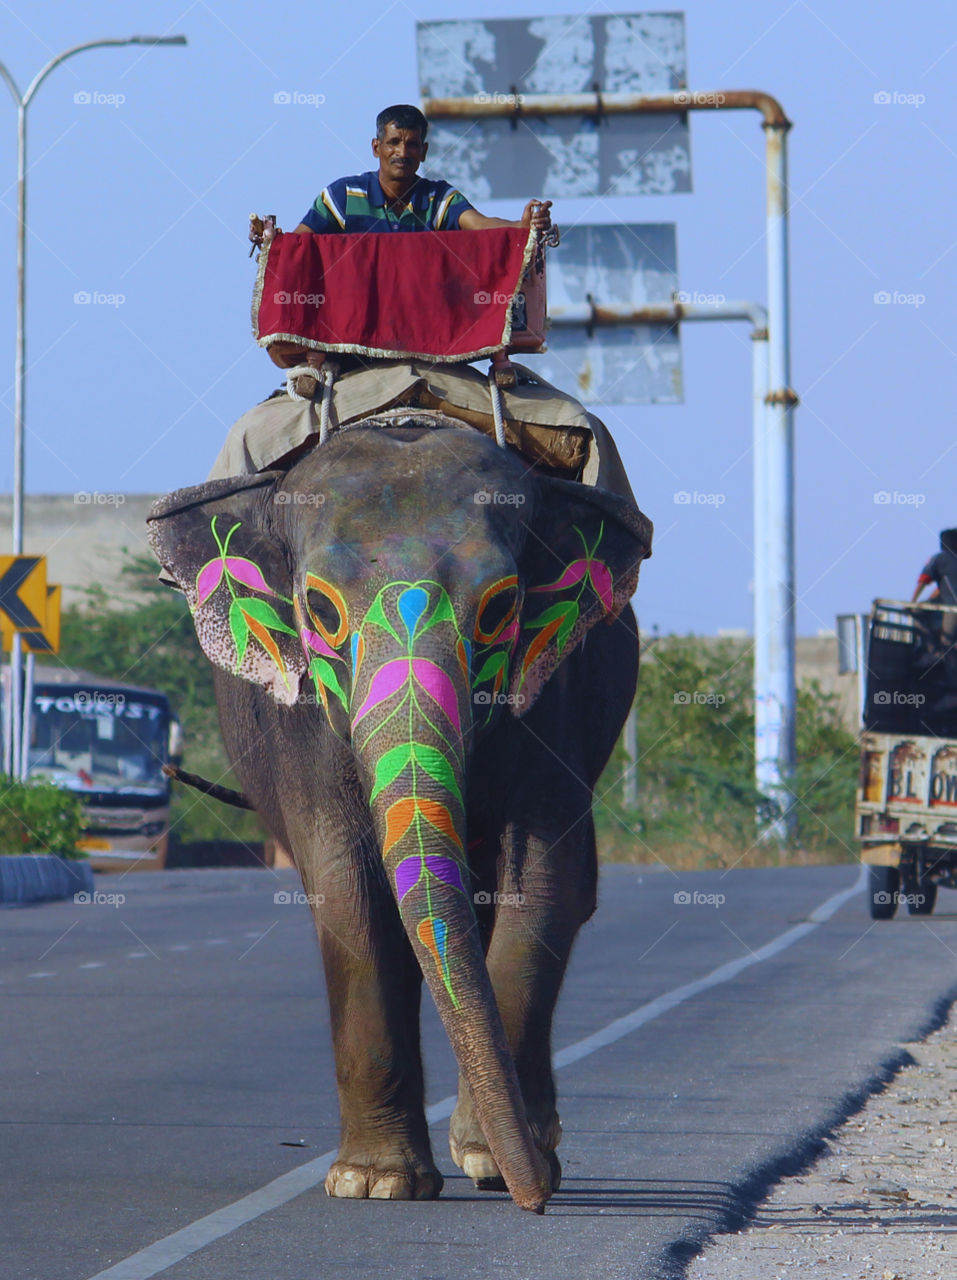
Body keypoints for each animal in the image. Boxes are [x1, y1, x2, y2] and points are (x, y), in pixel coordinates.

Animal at [147, 409, 649, 1208]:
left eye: (501, 607)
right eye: (319, 609)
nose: (536, 1198)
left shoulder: (555, 692)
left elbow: (544, 883)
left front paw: (494, 1162)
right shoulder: (303, 716)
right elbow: (349, 891)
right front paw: (375, 1182)